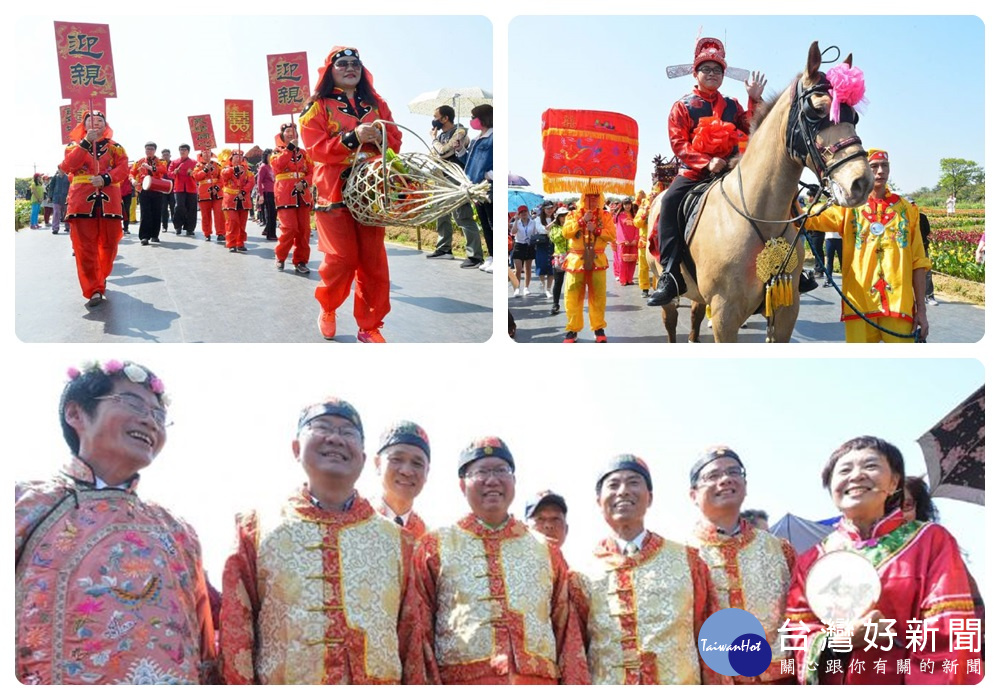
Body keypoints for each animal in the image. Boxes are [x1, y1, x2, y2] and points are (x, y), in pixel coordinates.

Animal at [648, 41, 876, 342]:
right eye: (816, 110)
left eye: (855, 116)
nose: (861, 182)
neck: (761, 216)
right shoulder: (724, 314)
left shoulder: (785, 308)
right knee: (670, 321)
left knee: (695, 316)